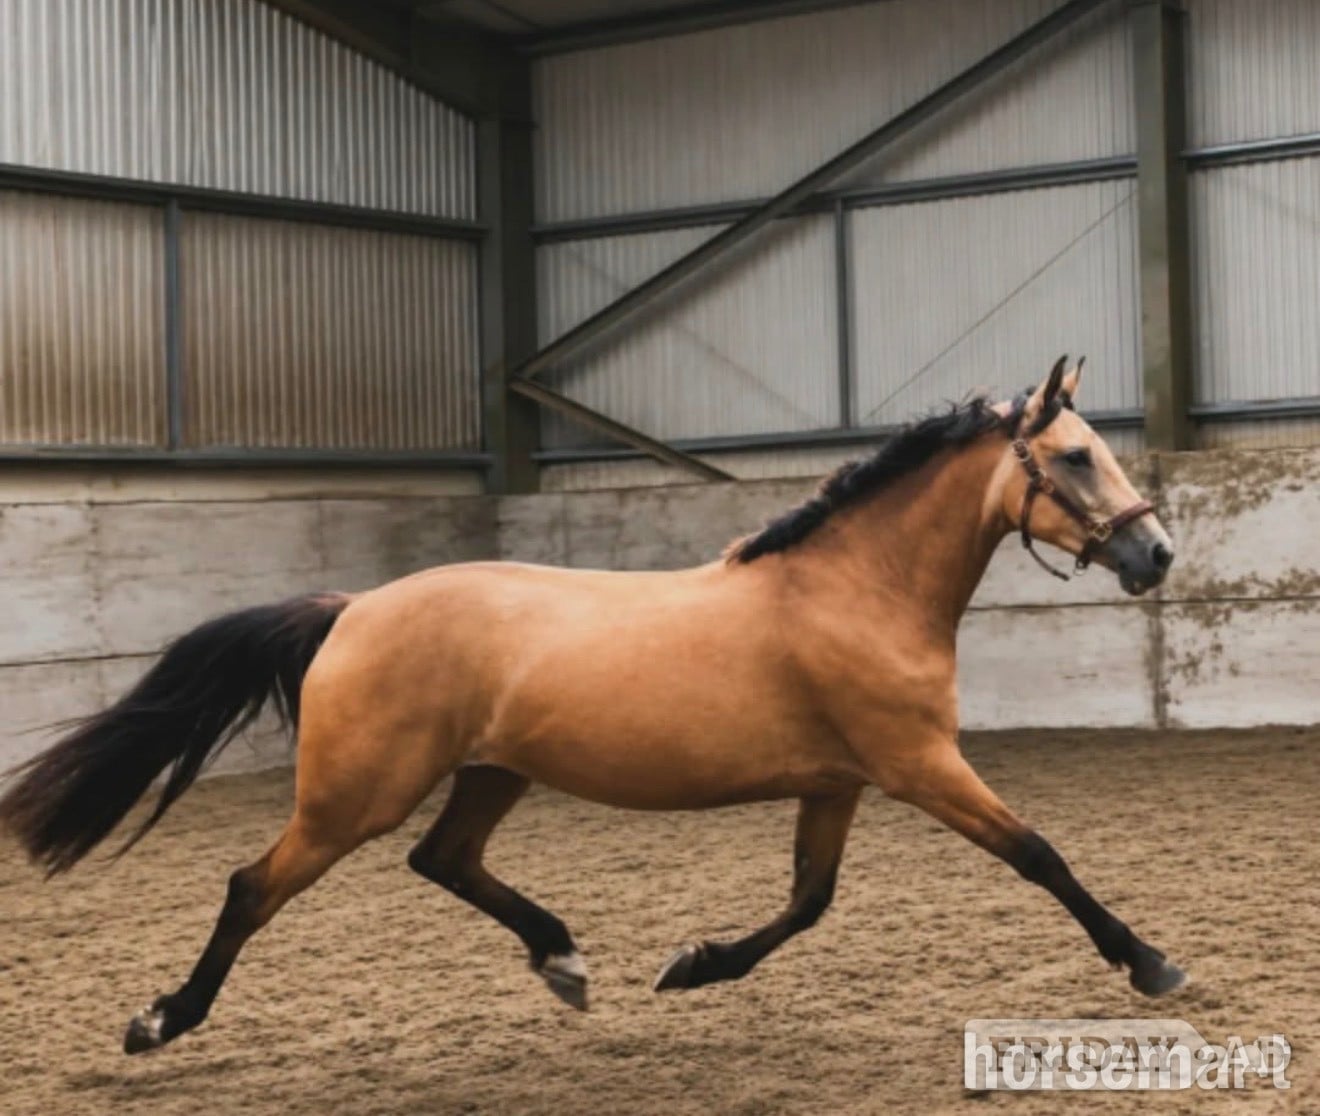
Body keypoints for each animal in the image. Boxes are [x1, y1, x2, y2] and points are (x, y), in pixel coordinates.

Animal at [0, 356, 1185, 1056]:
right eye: (1076, 456)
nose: (1156, 553)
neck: (857, 588)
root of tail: (352, 609)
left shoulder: (841, 782)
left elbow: (808, 902)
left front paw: (693, 966)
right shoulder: (921, 765)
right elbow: (1038, 855)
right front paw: (1152, 963)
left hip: (490, 771)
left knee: (444, 860)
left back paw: (564, 961)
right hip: (354, 795)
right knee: (254, 887)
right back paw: (162, 1020)